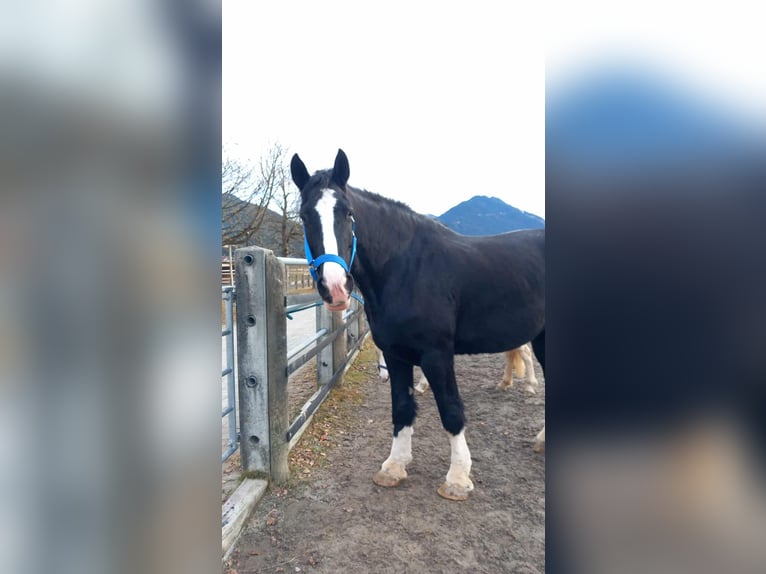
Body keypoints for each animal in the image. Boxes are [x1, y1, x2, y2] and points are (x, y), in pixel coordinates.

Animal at [291, 149, 545, 500]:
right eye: (304, 216)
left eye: (348, 213)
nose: (336, 287)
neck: (406, 269)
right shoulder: (395, 354)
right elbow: (401, 407)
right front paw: (394, 467)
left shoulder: (437, 355)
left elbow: (451, 411)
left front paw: (457, 478)